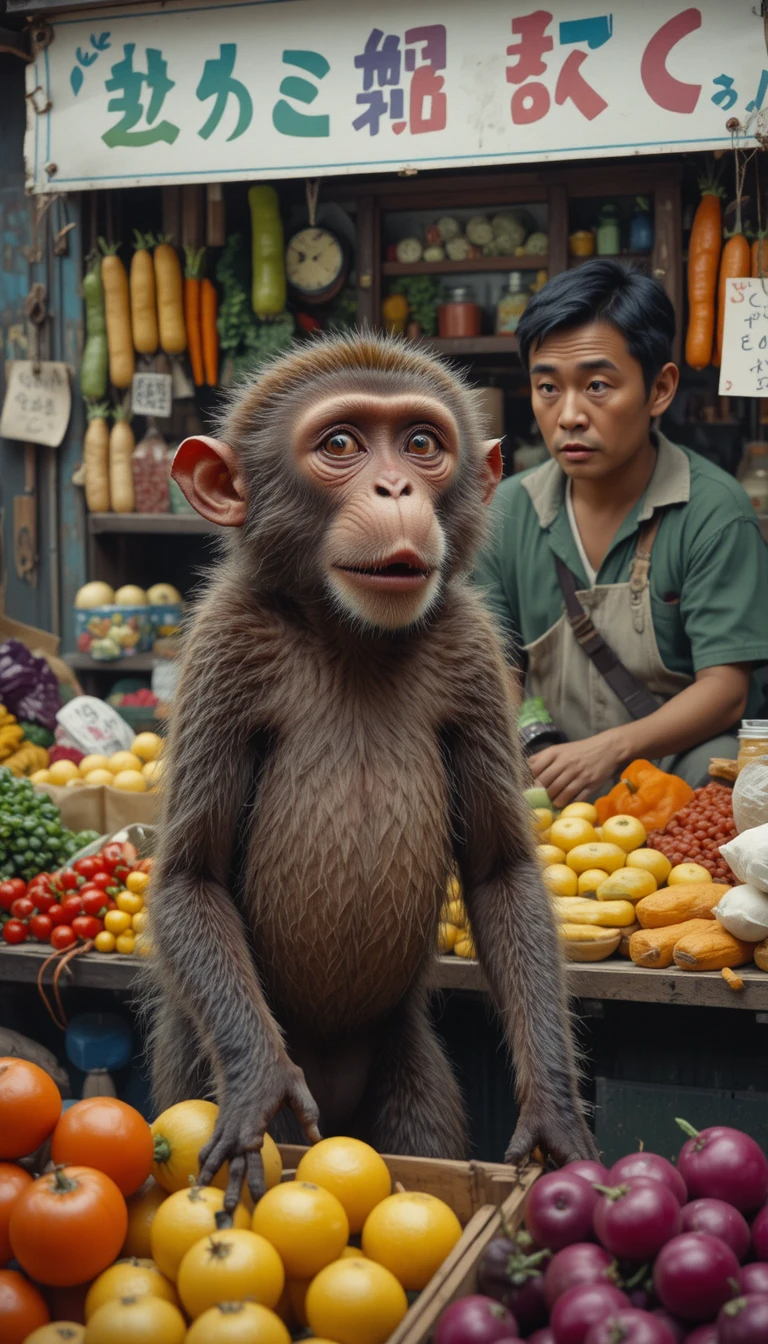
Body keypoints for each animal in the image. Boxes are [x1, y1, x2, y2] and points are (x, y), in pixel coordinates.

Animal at [144, 331, 596, 1211]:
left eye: (420, 444)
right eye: (341, 445)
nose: (394, 487)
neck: (348, 633)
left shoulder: (470, 650)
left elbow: (501, 870)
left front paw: (555, 1111)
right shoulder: (224, 647)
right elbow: (190, 876)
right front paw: (258, 1084)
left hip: (404, 1070)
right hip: (191, 1056)